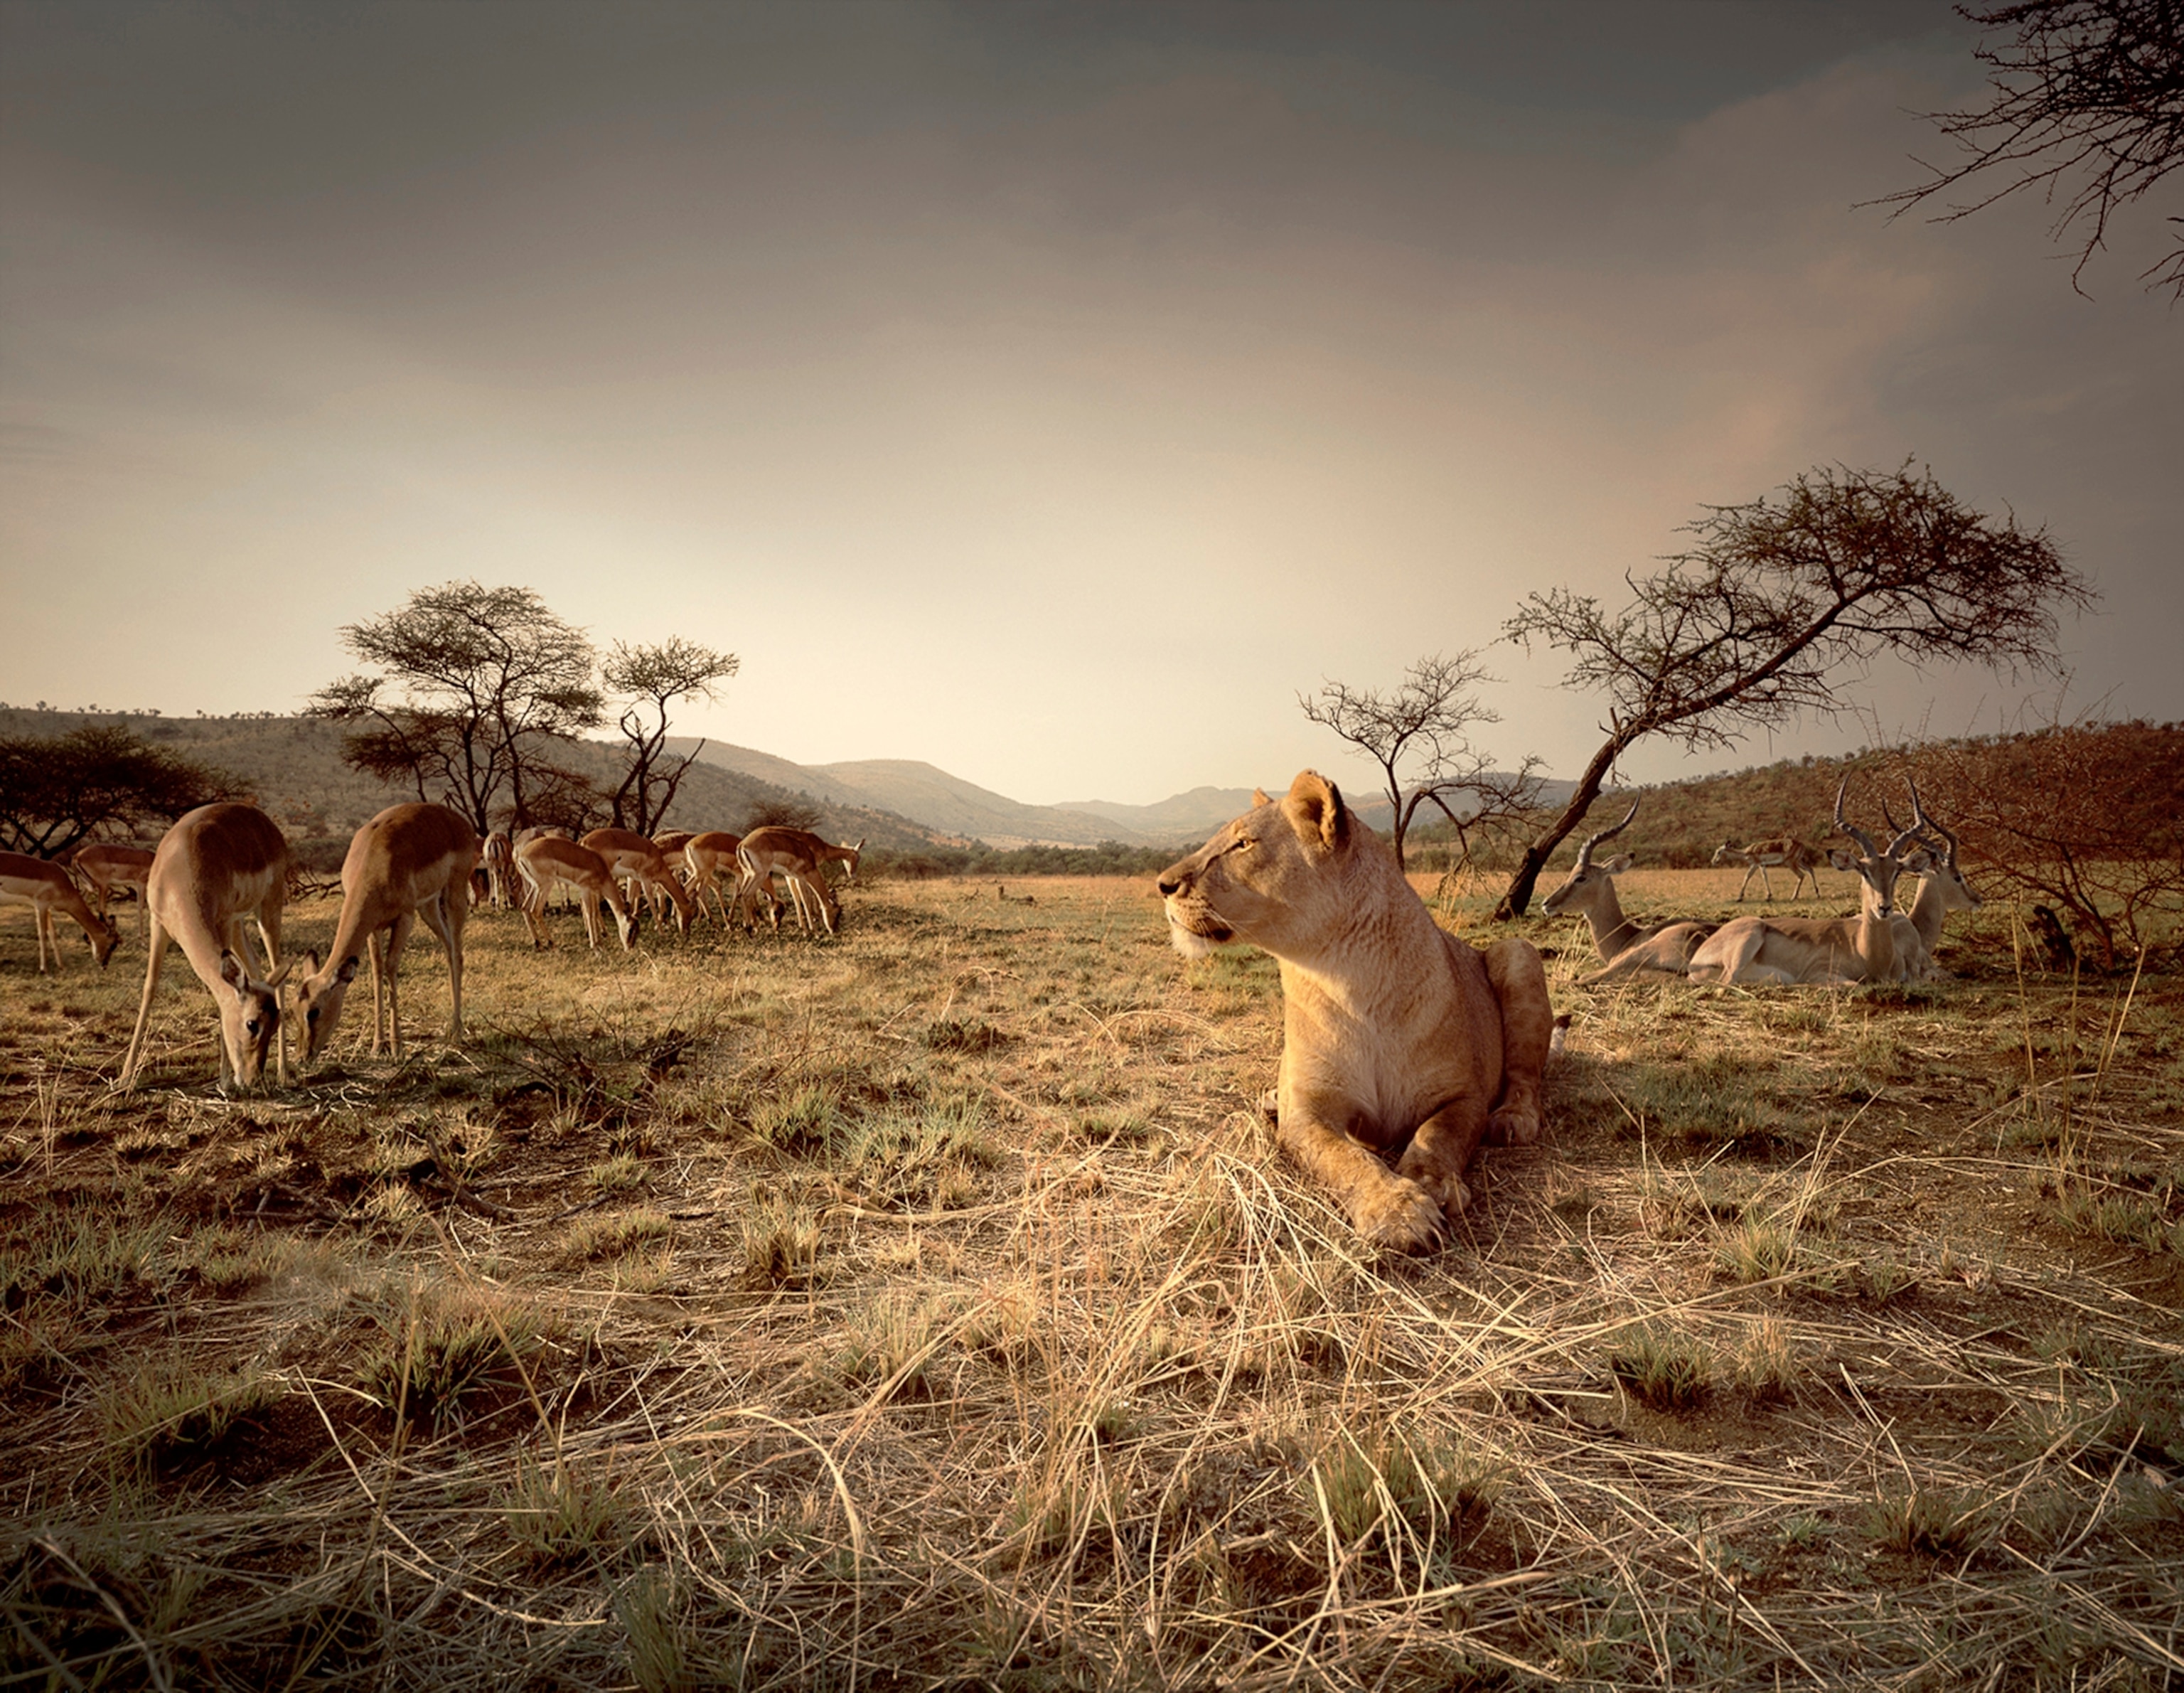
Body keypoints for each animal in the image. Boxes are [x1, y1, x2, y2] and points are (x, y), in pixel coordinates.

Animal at [1157, 771, 1558, 1253]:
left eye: (1243, 844)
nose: (1162, 885)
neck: (1348, 978)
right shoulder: (1307, 1113)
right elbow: (1345, 1158)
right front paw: (1398, 1210)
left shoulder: (1463, 1096)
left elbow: (1437, 1135)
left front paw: (1431, 1184)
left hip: (1516, 952)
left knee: (1526, 1078)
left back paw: (1514, 1120)